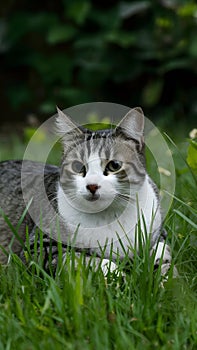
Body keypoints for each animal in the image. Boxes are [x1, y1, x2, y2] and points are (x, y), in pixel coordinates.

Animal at [0, 106, 176, 276]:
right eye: (78, 166)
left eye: (114, 165)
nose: (92, 185)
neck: (111, 216)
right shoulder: (39, 248)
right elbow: (83, 260)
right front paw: (117, 276)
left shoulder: (159, 233)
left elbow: (163, 254)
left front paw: (165, 277)